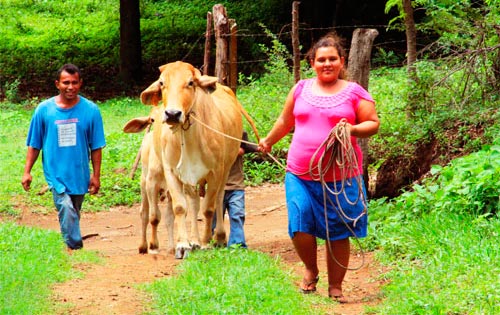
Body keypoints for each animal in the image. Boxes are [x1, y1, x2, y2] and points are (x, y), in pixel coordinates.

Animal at [140, 61, 258, 260]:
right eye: (162, 83)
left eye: (190, 82)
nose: (172, 114)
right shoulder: (171, 171)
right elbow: (181, 208)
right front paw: (183, 245)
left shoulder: (216, 171)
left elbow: (209, 208)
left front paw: (205, 242)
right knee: (194, 202)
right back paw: (193, 241)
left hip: (226, 169)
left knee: (218, 198)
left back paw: (217, 238)